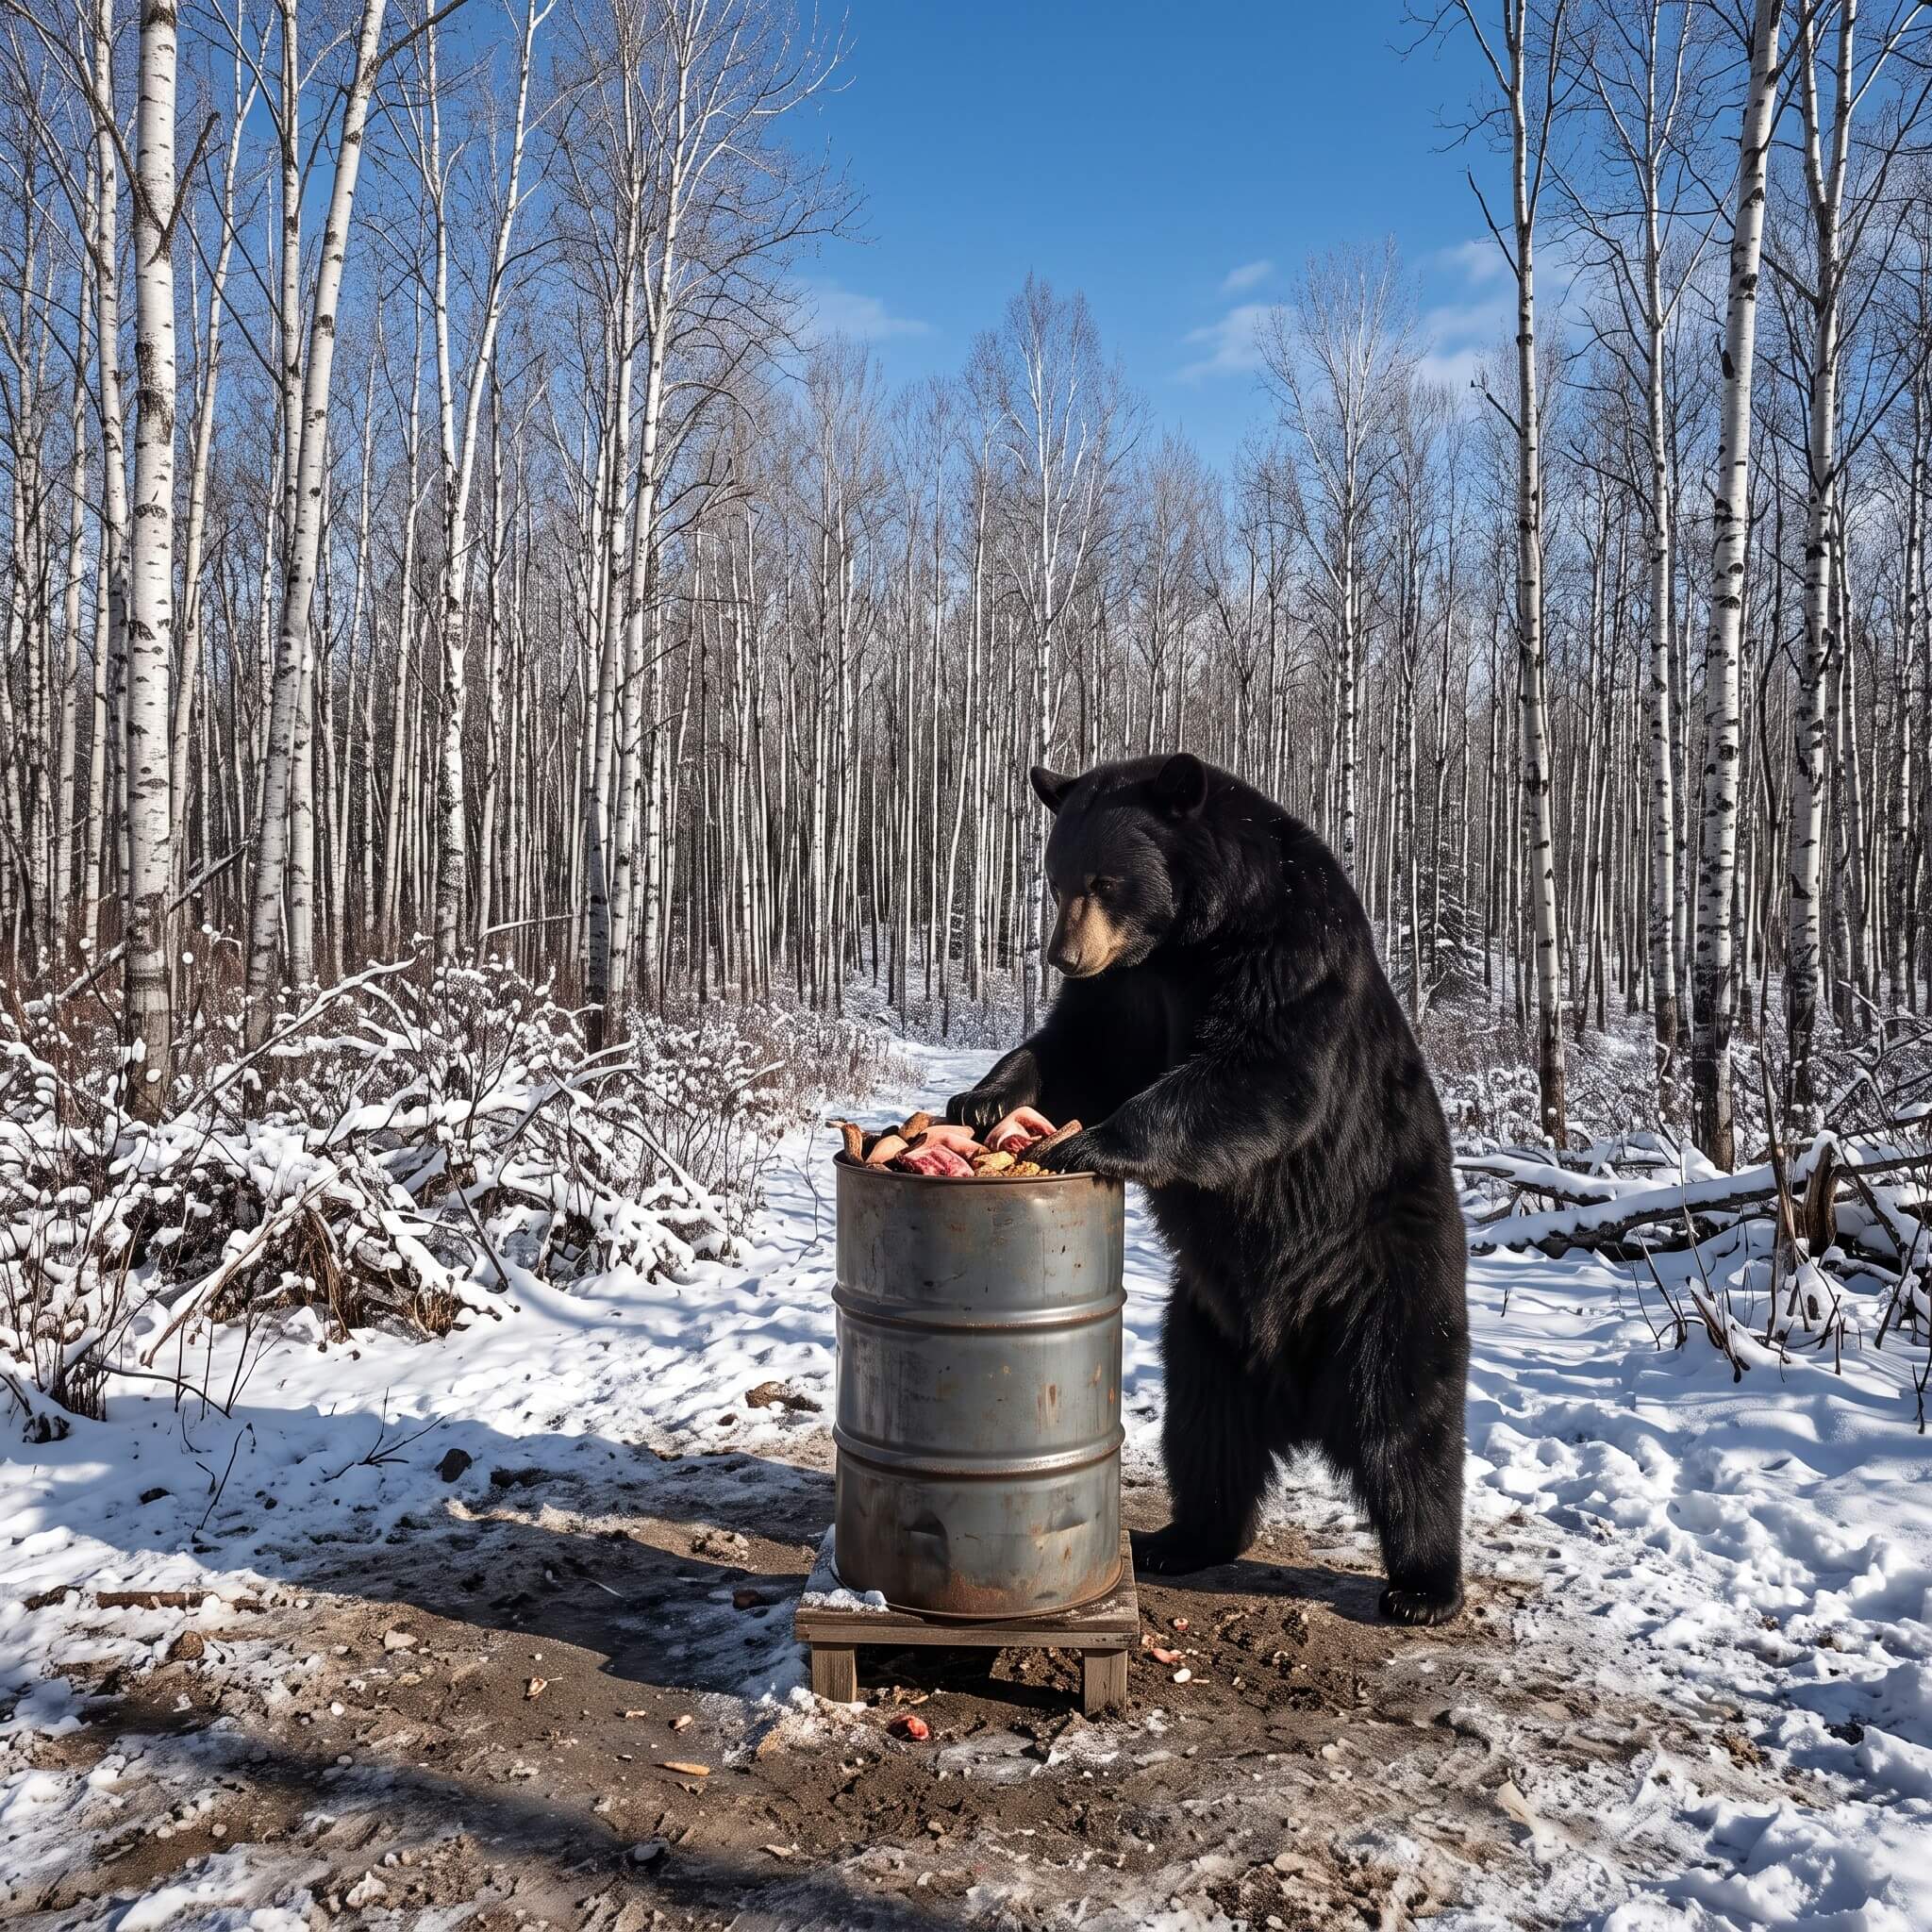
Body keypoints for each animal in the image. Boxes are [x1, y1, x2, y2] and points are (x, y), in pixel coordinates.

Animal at [947, 752, 1469, 1625]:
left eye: (1107, 880)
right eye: (1055, 878)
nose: (1063, 957)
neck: (1185, 941)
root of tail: (1295, 1389)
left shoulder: (1292, 950)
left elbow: (1259, 1070)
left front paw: (1083, 1140)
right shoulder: (1126, 991)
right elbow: (1077, 1048)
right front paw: (982, 1100)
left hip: (1388, 1279)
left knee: (1406, 1424)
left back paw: (1423, 1586)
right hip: (1203, 1328)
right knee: (1205, 1432)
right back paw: (1182, 1538)